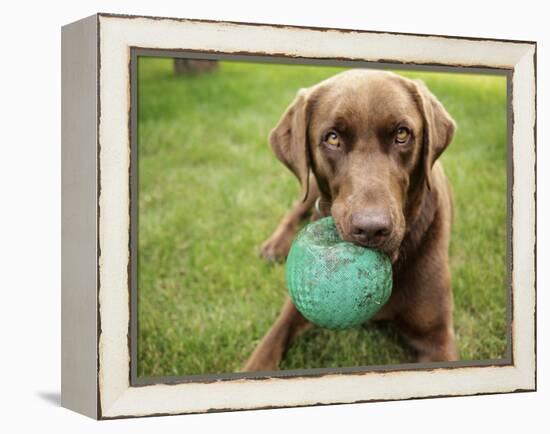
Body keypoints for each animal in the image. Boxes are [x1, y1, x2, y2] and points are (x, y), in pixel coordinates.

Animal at [247, 69, 462, 372]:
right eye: (333, 138)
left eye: (402, 134)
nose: (371, 229)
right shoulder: (295, 307)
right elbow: (266, 349)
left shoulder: (437, 337)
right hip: (309, 188)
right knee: (297, 207)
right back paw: (274, 246)